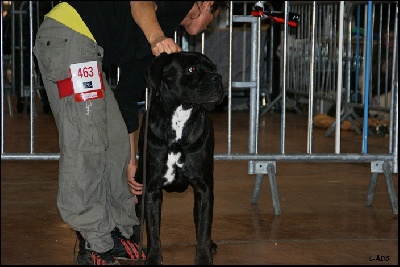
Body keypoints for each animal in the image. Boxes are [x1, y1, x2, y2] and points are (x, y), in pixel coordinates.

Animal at [136, 50, 225, 266]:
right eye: (192, 69)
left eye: (213, 68)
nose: (218, 77)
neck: (180, 117)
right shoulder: (151, 190)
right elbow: (153, 230)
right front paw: (153, 258)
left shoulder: (204, 189)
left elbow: (203, 229)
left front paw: (203, 258)